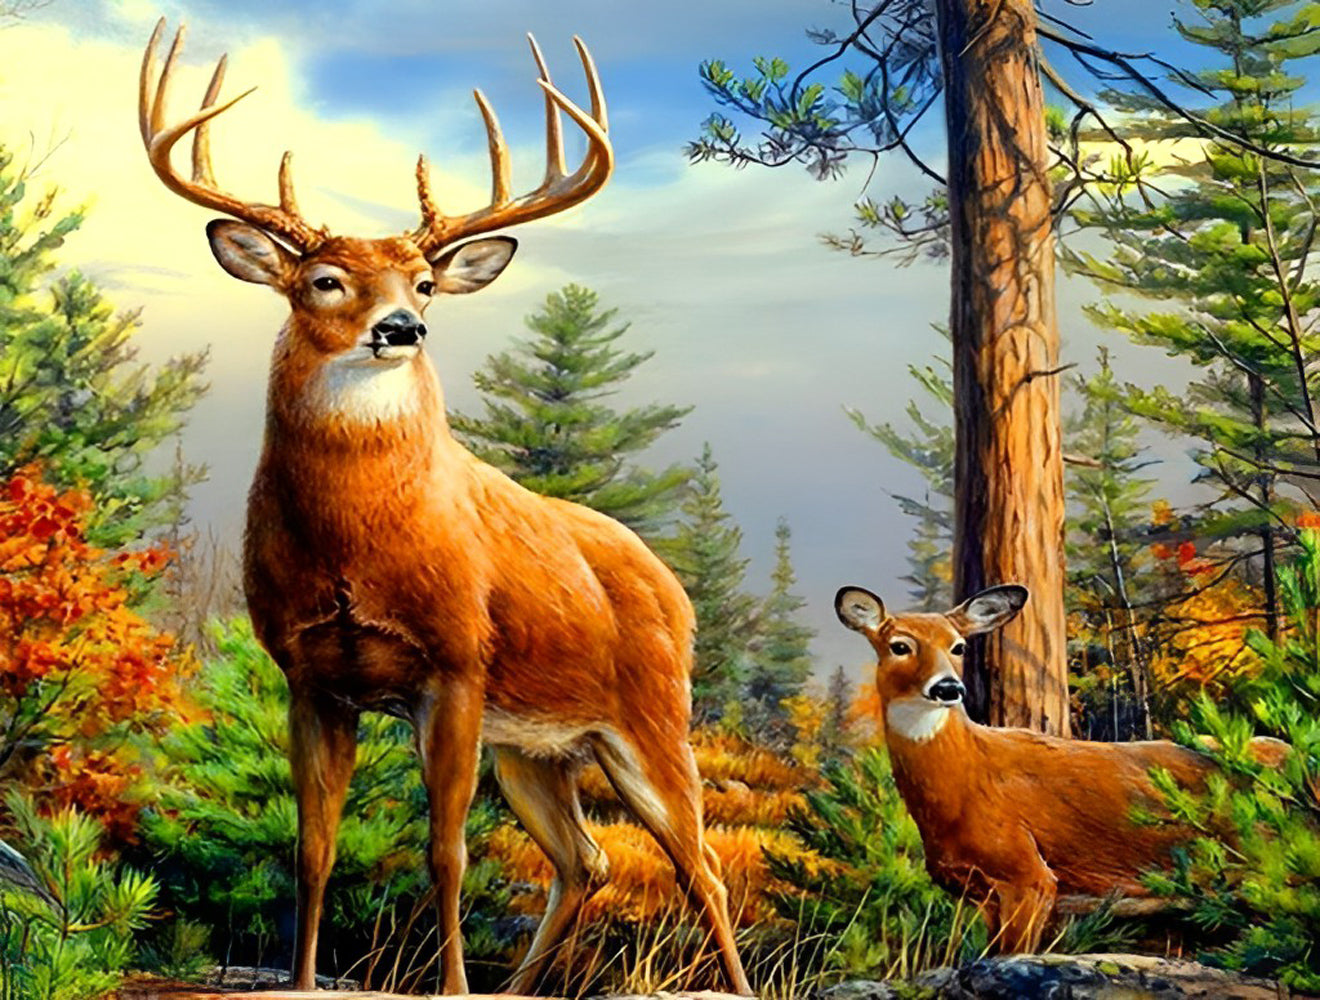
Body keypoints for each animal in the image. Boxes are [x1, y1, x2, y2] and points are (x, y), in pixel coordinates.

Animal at [138, 20, 751, 995]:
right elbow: (312, 848)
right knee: (587, 860)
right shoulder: (310, 674)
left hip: (654, 716)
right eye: (324, 279)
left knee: (702, 867)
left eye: (423, 282)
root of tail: (672, 585)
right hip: (535, 746)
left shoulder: (457, 664)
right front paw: (303, 980)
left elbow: (447, 852)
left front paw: (453, 985)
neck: (353, 549)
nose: (401, 328)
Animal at [834, 583, 1288, 954]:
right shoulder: (982, 894)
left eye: (958, 646)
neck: (964, 781)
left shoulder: (1028, 873)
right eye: (899, 646)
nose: (948, 687)